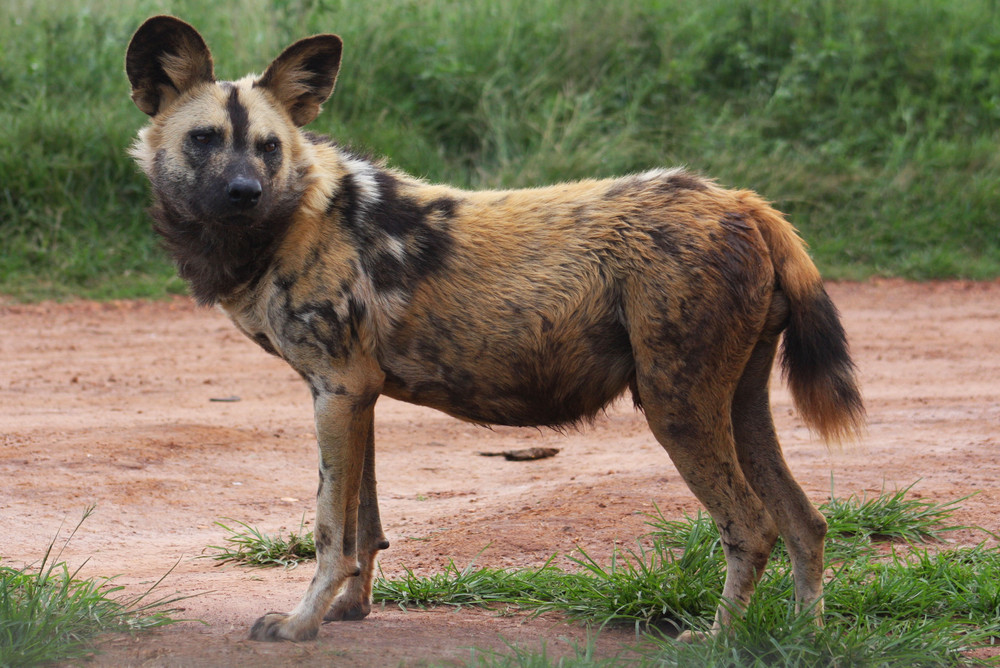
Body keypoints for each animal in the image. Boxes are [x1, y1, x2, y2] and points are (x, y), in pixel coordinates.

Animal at [127, 15, 868, 640]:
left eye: (269, 148)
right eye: (203, 140)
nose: (244, 192)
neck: (296, 219)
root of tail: (740, 201)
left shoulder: (336, 391)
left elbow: (330, 531)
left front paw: (301, 624)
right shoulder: (357, 395)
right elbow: (365, 524)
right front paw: (349, 610)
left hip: (676, 407)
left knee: (753, 526)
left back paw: (718, 639)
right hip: (734, 402)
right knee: (805, 522)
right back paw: (804, 634)